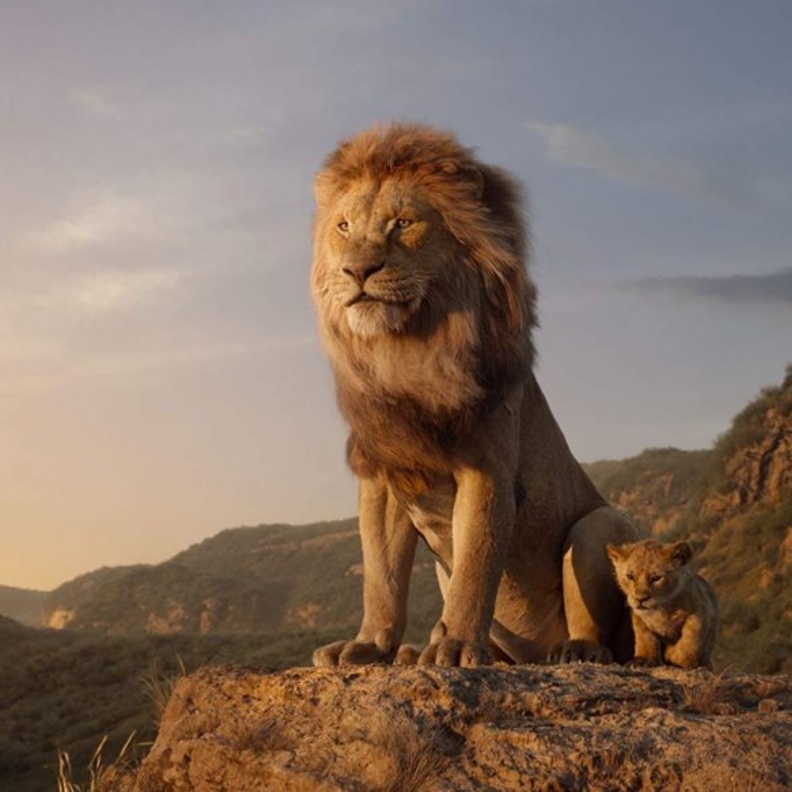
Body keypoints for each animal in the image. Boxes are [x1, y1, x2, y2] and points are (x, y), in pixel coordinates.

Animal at [310, 123, 641, 668]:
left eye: (403, 223)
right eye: (343, 227)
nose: (357, 271)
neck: (406, 351)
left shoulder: (487, 469)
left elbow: (475, 566)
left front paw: (459, 645)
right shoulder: (384, 475)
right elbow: (381, 577)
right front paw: (369, 645)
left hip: (600, 524)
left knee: (601, 630)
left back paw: (574, 650)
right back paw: (414, 652)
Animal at [606, 539, 719, 669]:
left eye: (656, 578)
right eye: (630, 576)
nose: (640, 599)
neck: (661, 609)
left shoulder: (700, 610)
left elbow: (691, 638)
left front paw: (676, 657)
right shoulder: (639, 617)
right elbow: (645, 638)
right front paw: (643, 659)